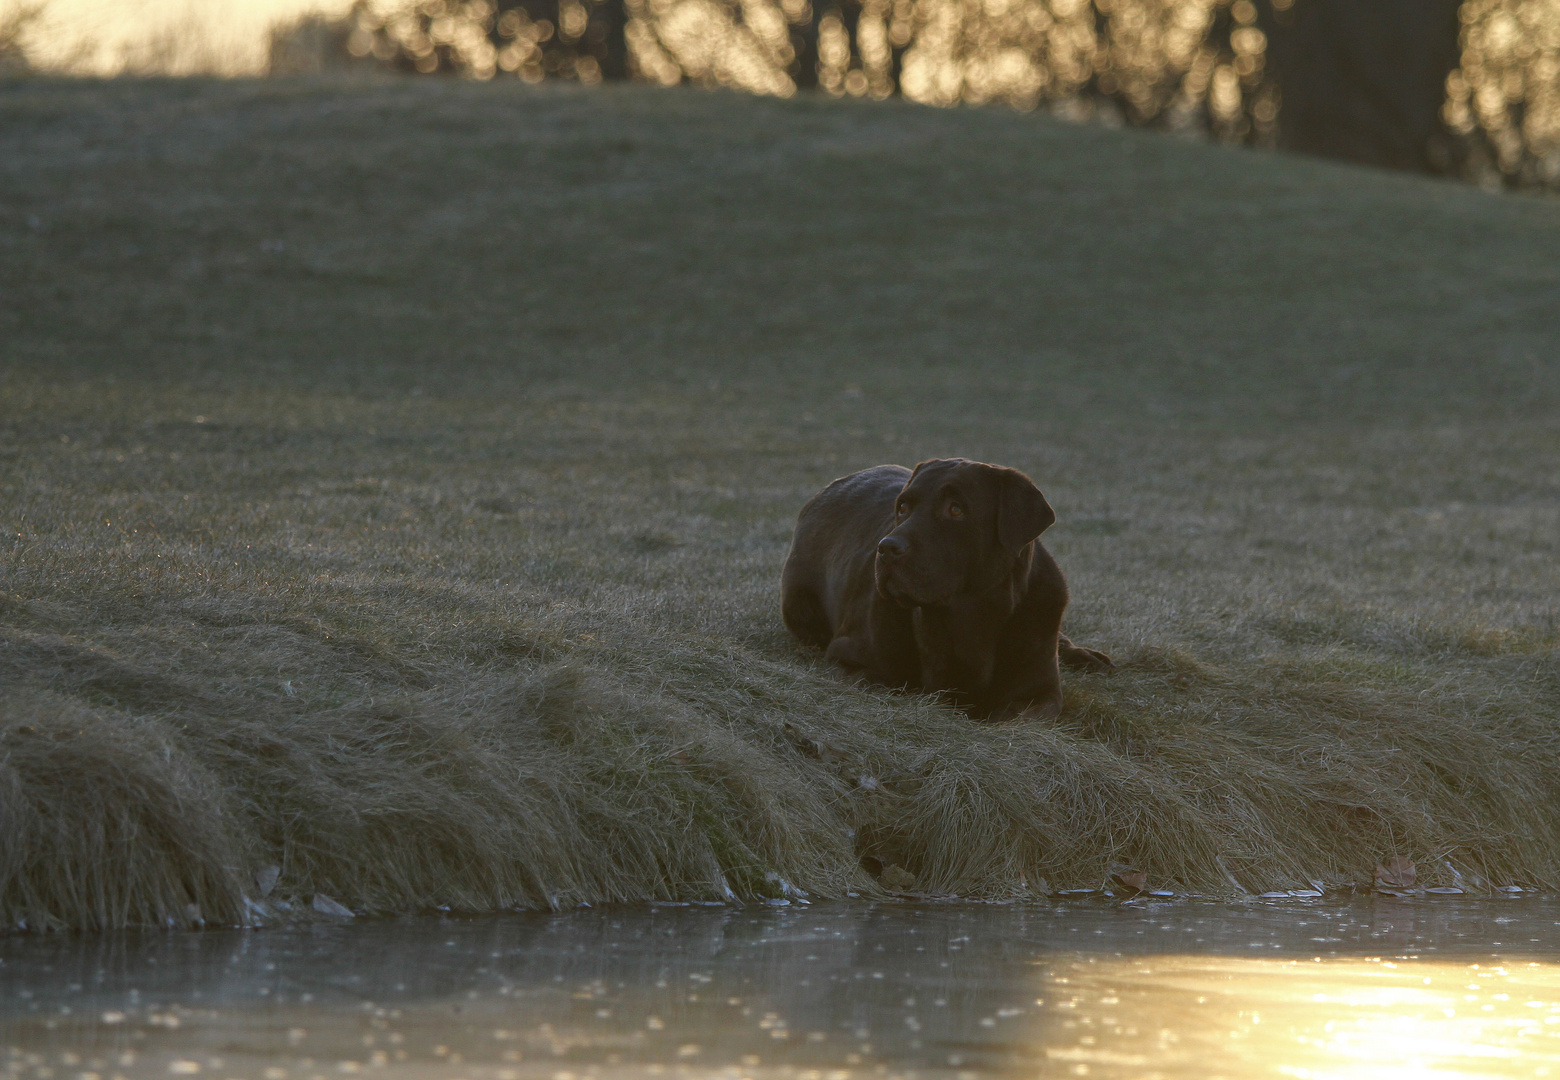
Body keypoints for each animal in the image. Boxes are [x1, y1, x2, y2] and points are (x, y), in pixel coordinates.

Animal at [780, 455, 1110, 717]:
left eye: (956, 510)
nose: (886, 548)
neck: (969, 622)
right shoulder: (848, 657)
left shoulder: (1042, 692)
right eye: (903, 507)